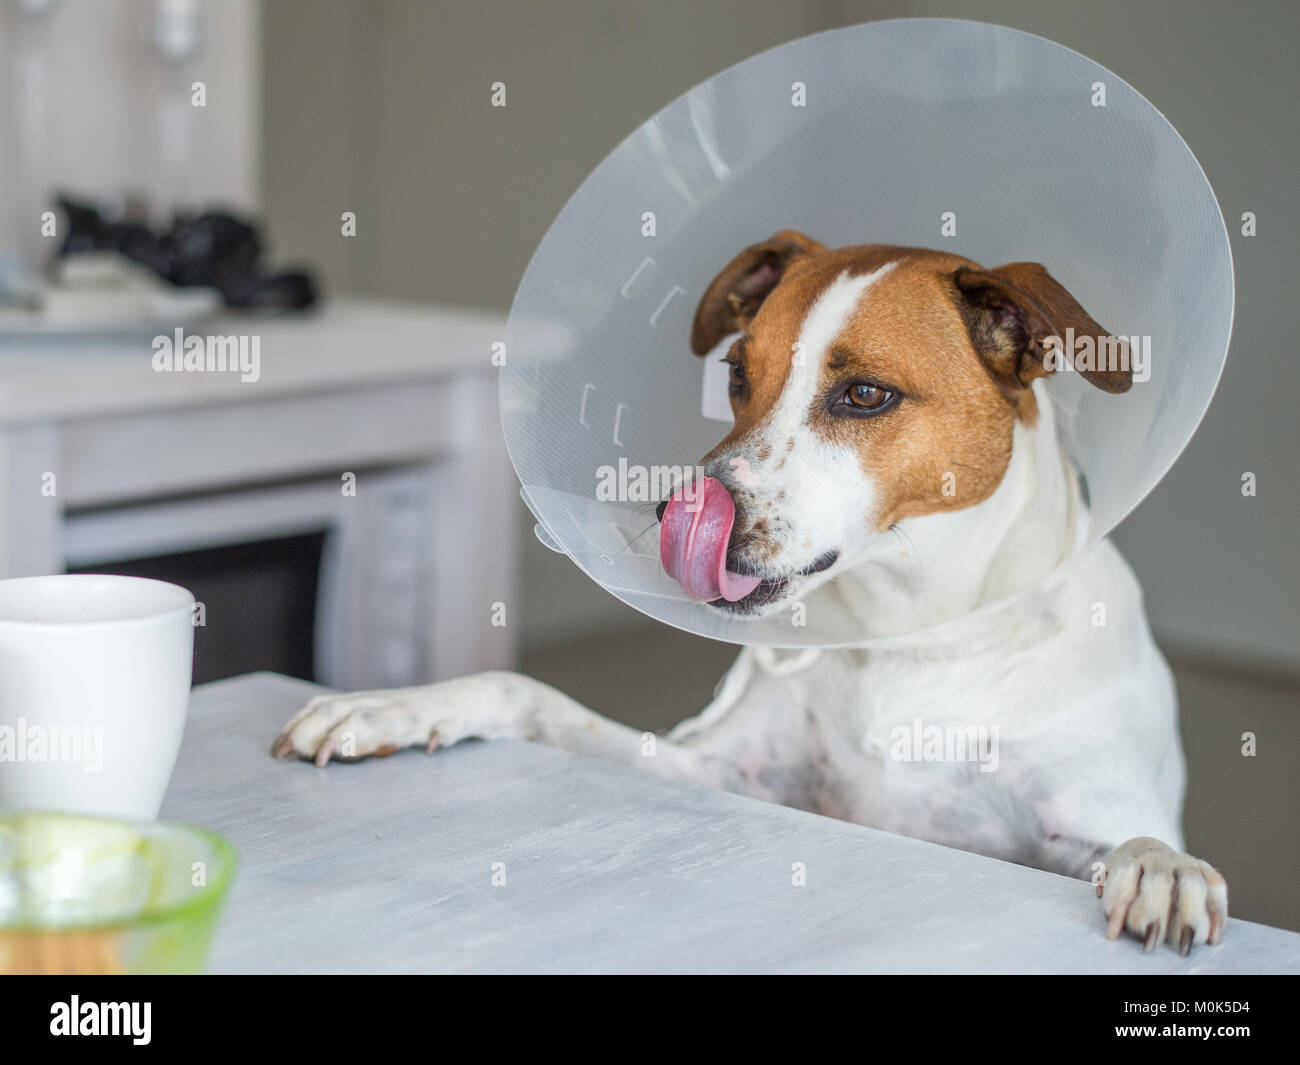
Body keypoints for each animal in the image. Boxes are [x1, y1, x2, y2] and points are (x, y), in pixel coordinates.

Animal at [271, 232, 1227, 957]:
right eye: (736, 373)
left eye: (866, 393)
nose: (674, 515)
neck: (912, 632)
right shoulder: (721, 771)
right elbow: (527, 693)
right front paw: (393, 705)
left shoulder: (1077, 814)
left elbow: (1137, 838)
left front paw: (1164, 870)